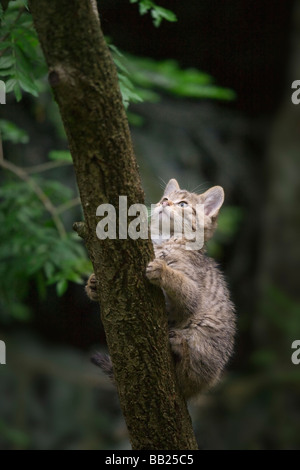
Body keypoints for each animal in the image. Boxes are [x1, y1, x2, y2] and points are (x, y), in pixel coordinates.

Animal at [86, 178, 237, 398]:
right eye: (165, 198)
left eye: (182, 204)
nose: (165, 203)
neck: (166, 240)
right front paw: (93, 284)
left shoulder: (191, 293)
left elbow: (181, 284)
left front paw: (162, 270)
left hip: (203, 336)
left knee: (190, 377)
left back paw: (180, 349)